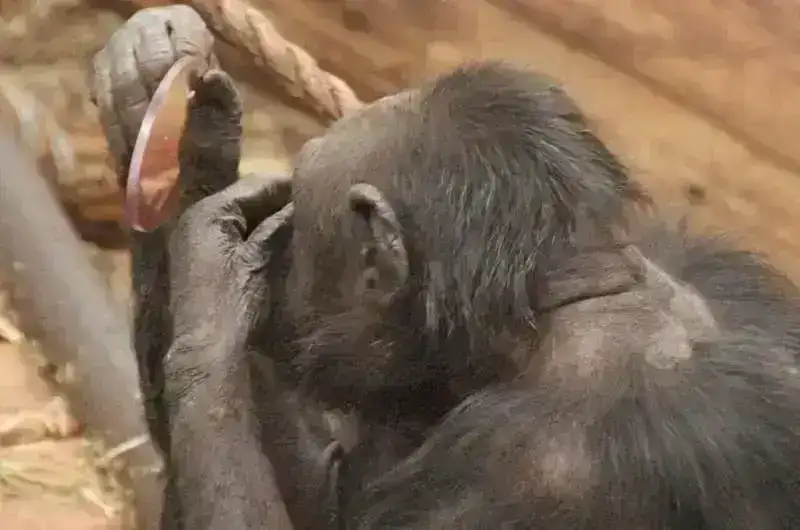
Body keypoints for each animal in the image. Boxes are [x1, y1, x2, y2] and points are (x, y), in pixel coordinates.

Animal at [91, 6, 800, 529]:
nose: (284, 275)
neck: (544, 318)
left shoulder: (530, 472)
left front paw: (211, 274)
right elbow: (322, 491)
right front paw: (172, 124)